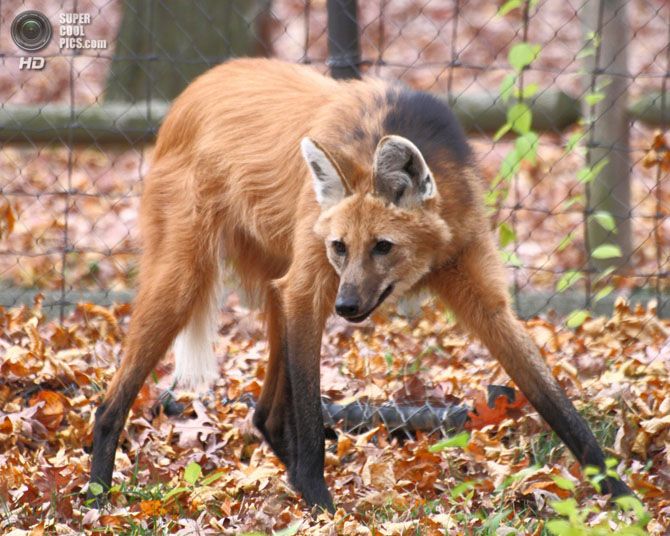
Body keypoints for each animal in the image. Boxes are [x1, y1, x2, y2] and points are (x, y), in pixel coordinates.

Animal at [89, 57, 636, 510]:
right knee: (112, 401)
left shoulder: (479, 291)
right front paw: (321, 506)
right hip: (190, 280)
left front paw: (623, 496)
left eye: (383, 246)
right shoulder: (313, 288)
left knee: (265, 413)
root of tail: (191, 90)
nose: (348, 307)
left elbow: (555, 401)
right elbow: (310, 413)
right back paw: (97, 496)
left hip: (275, 285)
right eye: (340, 247)